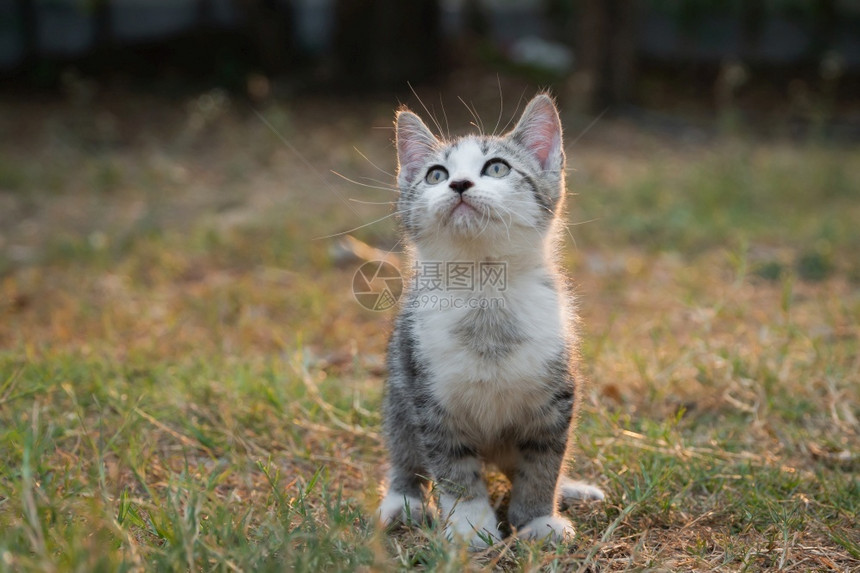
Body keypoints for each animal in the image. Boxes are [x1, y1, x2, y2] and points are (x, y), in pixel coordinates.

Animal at [380, 94, 600, 544]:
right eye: (436, 174)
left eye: (497, 167)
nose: (459, 184)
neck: (485, 291)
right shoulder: (429, 396)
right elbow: (452, 466)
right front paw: (471, 526)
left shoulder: (556, 394)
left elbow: (544, 461)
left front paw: (537, 518)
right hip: (398, 387)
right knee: (403, 449)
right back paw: (403, 501)